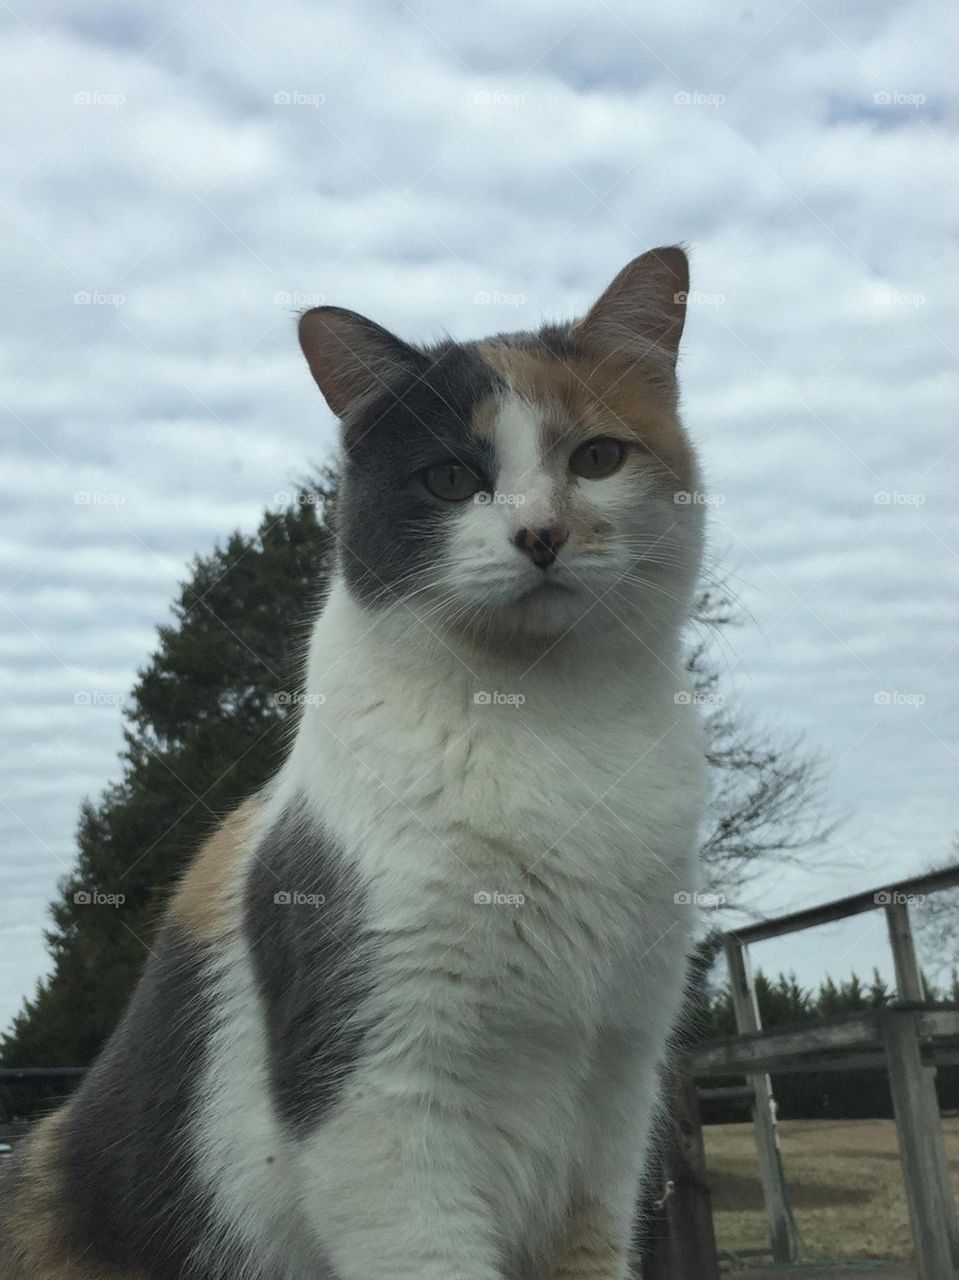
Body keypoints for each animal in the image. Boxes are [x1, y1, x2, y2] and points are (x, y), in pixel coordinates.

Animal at [1, 244, 711, 1274]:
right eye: (449, 478)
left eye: (597, 457)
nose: (540, 533)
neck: (547, 724)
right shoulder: (380, 1108)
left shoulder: (615, 1104)